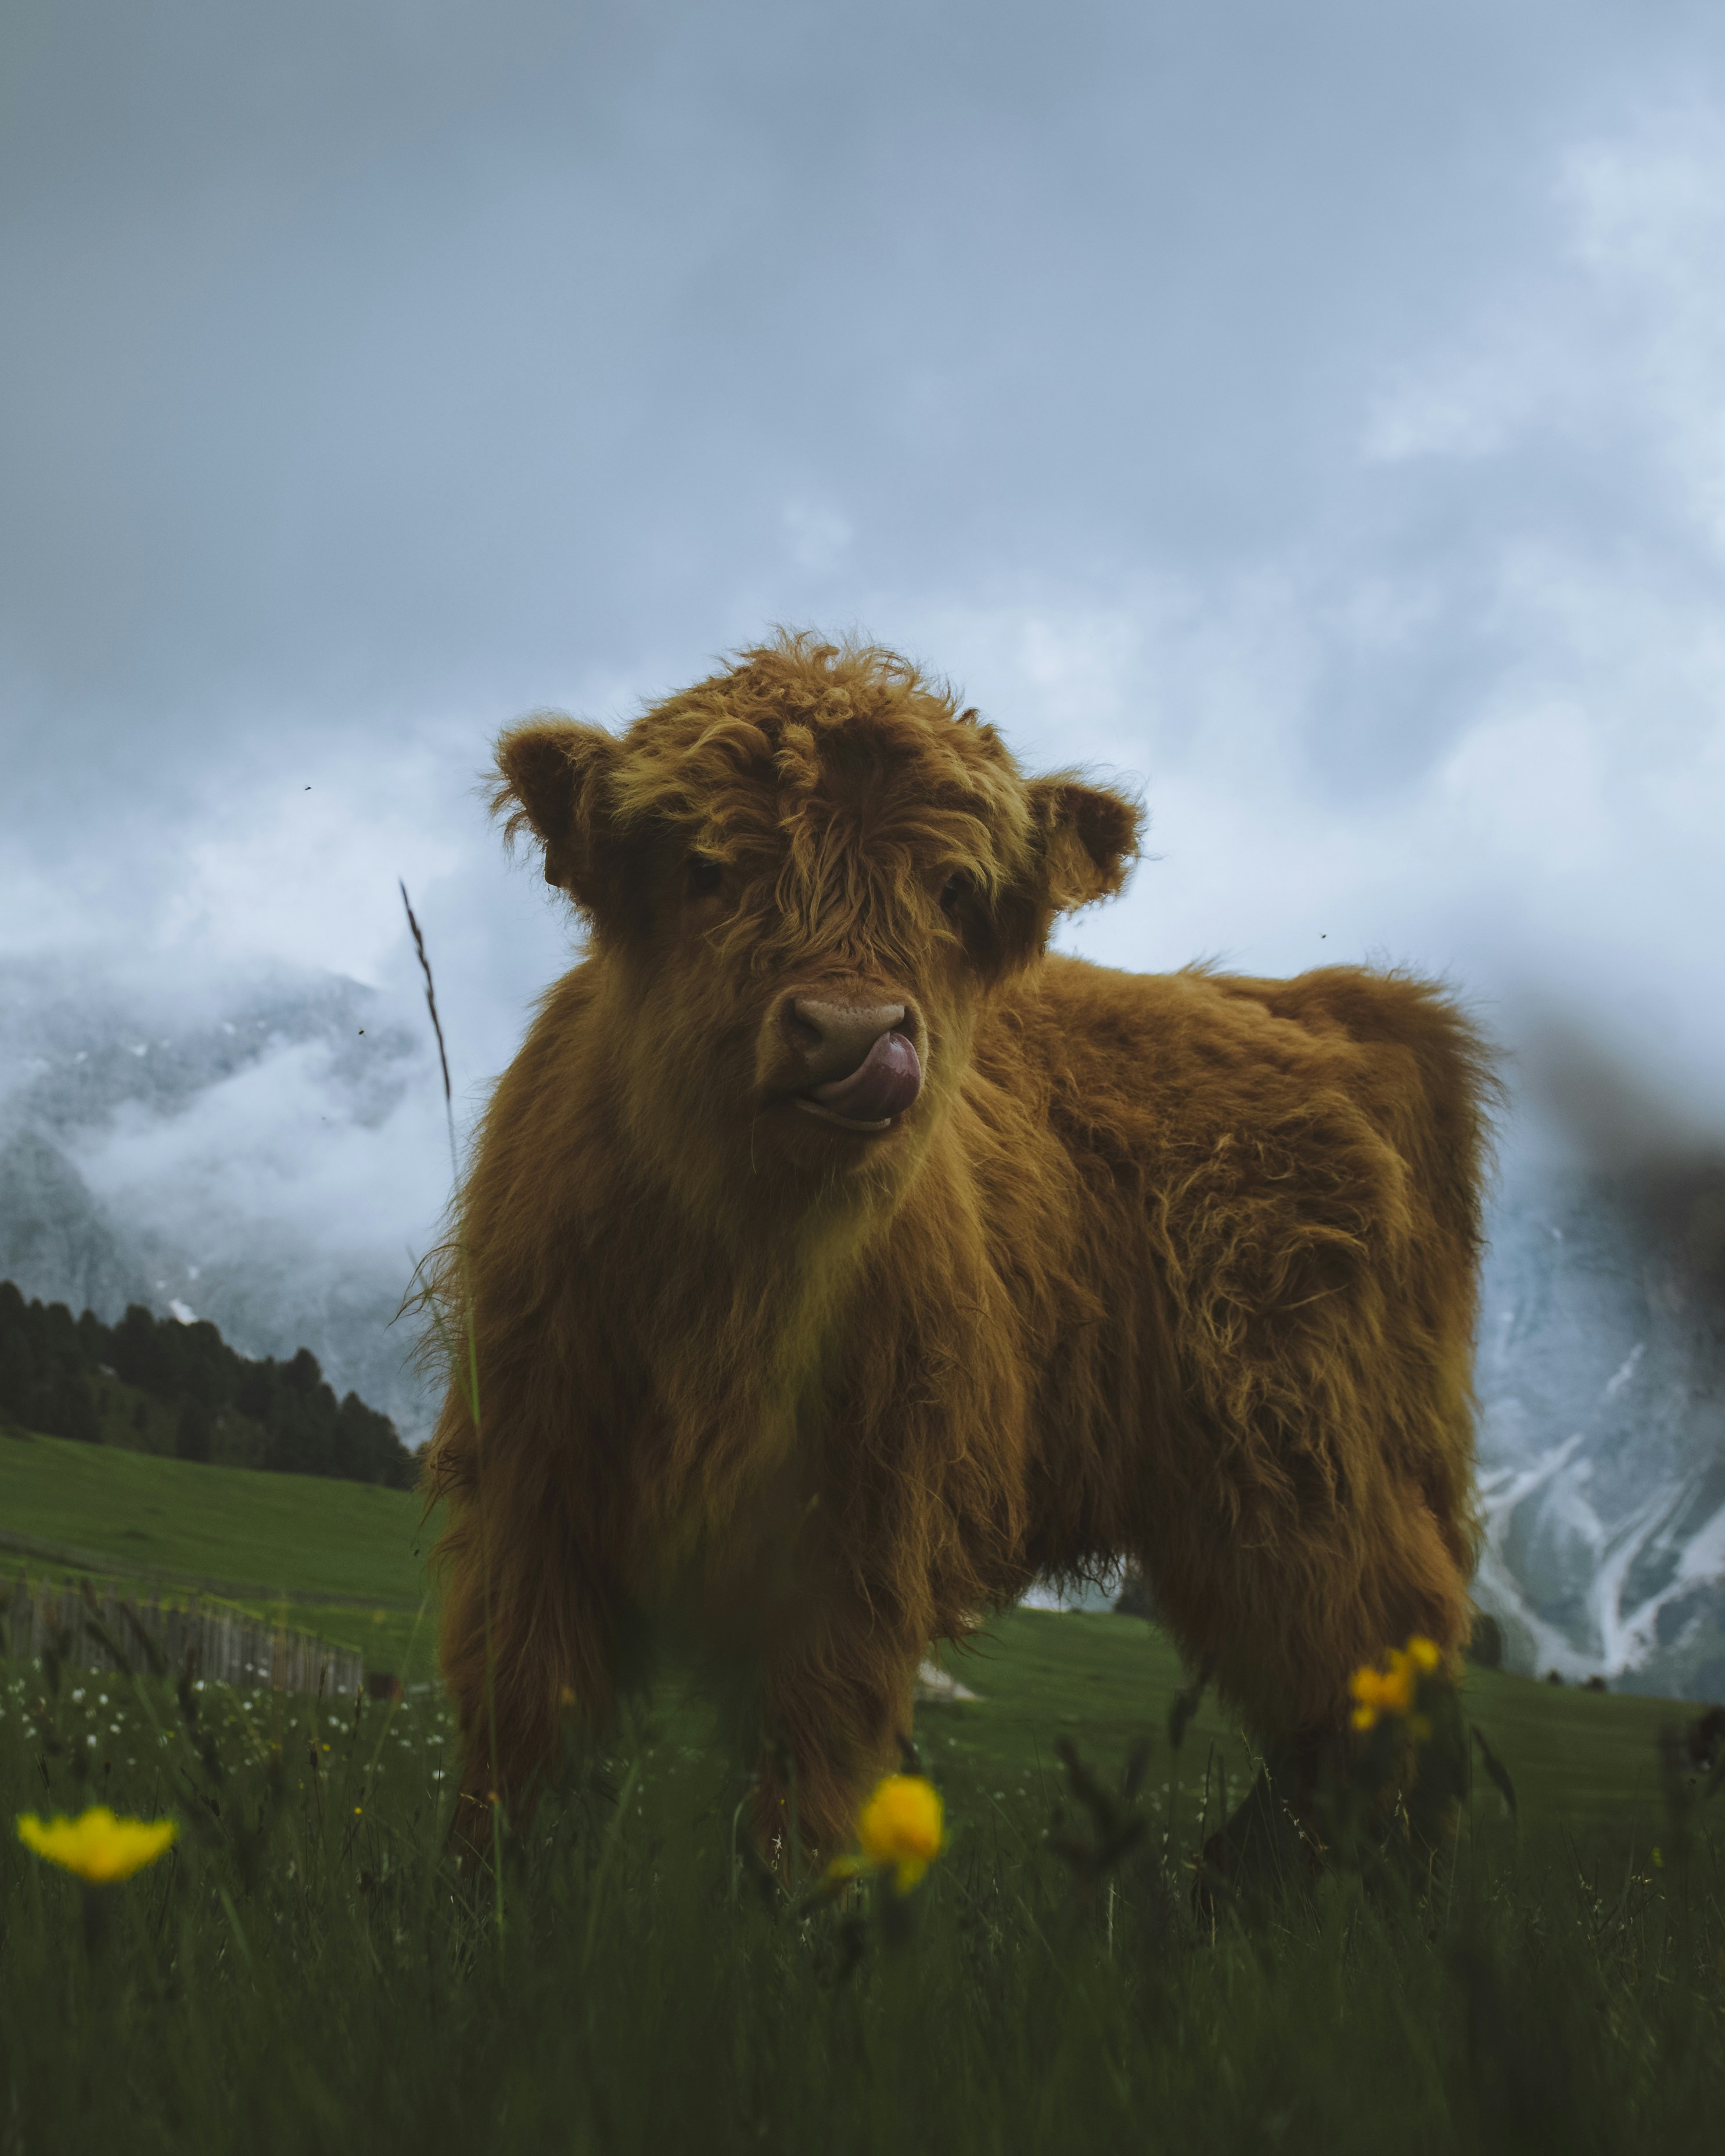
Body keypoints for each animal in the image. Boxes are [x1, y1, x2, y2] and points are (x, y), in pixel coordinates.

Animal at [421, 633, 1493, 1858]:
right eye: (705, 866)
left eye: (949, 889)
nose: (851, 1033)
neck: (739, 1288)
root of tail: (1322, 1002)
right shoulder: (531, 1494)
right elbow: (519, 1734)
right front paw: (485, 1884)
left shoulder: (861, 1544)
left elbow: (811, 1785)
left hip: (1308, 1476)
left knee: (1376, 1678)